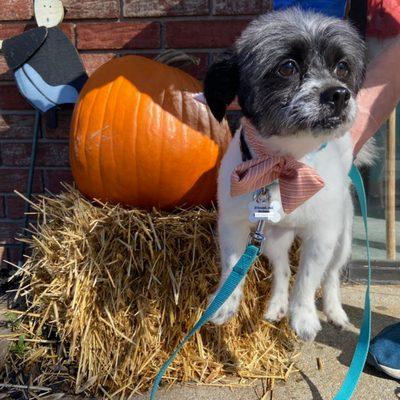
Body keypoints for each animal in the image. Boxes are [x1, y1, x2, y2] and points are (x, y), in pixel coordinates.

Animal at [203, 7, 372, 340]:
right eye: (287, 67)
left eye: (342, 66)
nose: (339, 94)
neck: (287, 162)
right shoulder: (234, 225)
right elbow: (231, 267)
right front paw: (225, 304)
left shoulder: (322, 235)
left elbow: (308, 277)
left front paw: (304, 316)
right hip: (272, 238)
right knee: (281, 269)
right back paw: (277, 306)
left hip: (343, 238)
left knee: (331, 276)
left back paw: (334, 311)